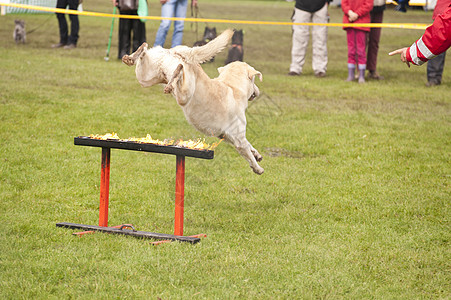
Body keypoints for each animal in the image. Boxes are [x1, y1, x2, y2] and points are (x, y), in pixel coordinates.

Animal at [122, 29, 264, 175]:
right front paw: (258, 168)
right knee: (179, 78)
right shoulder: (238, 138)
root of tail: (178, 52)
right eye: (254, 80)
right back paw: (174, 77)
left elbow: (249, 145)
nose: (257, 91)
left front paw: (257, 154)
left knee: (143, 53)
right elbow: (248, 153)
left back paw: (134, 55)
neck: (232, 85)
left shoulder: (228, 136)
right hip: (185, 93)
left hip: (146, 77)